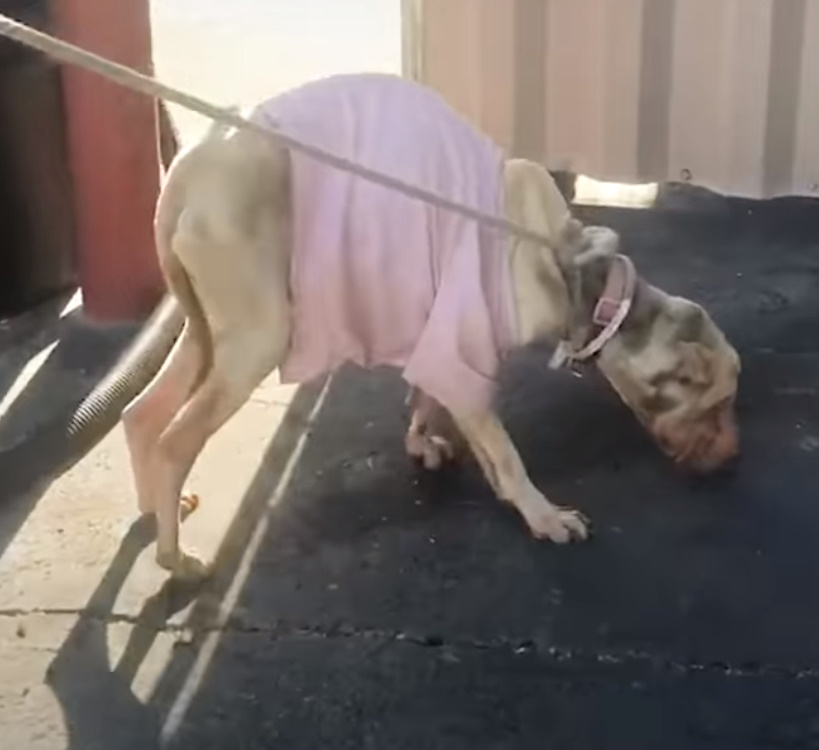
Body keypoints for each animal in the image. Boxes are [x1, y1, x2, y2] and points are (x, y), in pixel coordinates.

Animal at [123, 94, 744, 584]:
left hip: (207, 332)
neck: (575, 268)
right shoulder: (465, 352)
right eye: (716, 403)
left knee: (141, 412)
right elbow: (505, 453)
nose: (732, 461)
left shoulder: (435, 336)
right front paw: (541, 515)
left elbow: (427, 399)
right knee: (175, 440)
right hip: (256, 338)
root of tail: (187, 171)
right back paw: (175, 559)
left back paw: (156, 509)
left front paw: (423, 441)